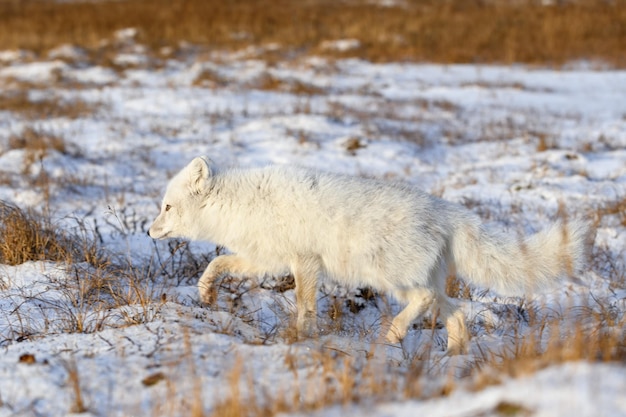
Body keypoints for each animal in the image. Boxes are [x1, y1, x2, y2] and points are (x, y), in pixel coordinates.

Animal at [149, 156, 588, 354]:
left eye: (167, 207)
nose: (148, 231)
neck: (240, 204)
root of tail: (445, 209)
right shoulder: (265, 259)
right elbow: (216, 264)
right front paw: (205, 294)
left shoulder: (304, 261)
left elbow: (305, 305)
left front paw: (301, 337)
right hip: (418, 281)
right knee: (456, 310)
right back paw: (452, 356)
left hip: (391, 278)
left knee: (426, 301)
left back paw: (393, 335)